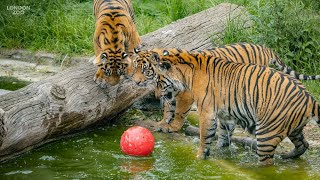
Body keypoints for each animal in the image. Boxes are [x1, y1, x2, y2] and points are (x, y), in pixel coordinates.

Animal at [132, 42, 320, 132]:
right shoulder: (171, 91)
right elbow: (168, 109)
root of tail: (265, 48)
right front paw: (162, 122)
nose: (136, 82)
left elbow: (178, 111)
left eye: (146, 70)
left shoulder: (184, 94)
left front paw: (173, 127)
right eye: (134, 68)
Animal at [151, 48, 320, 165]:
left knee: (267, 163)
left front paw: (199, 157)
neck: (188, 71)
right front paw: (219, 151)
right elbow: (223, 137)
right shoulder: (226, 115)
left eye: (159, 82)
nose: (157, 97)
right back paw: (286, 156)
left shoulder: (207, 112)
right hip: (292, 128)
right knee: (304, 144)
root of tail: (310, 98)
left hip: (267, 134)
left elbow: (204, 137)